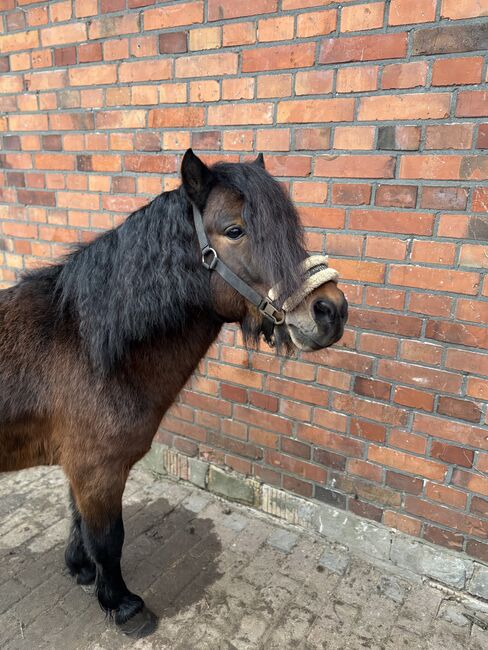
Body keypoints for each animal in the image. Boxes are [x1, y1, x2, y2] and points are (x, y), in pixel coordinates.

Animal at [0, 149, 348, 637]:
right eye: (235, 230)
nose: (331, 310)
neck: (87, 345)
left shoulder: (79, 465)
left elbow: (78, 520)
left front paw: (81, 569)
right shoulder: (97, 469)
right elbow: (108, 539)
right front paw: (123, 605)